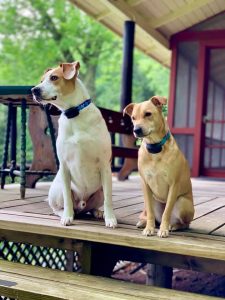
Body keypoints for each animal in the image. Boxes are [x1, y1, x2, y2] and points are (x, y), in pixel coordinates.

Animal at [124, 97, 194, 238]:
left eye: (148, 114)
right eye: (133, 118)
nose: (136, 130)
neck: (155, 147)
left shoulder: (174, 185)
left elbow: (167, 212)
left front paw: (163, 229)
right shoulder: (145, 184)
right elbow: (150, 213)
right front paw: (149, 228)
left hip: (183, 203)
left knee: (184, 223)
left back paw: (174, 225)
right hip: (153, 201)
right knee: (153, 215)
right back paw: (144, 222)